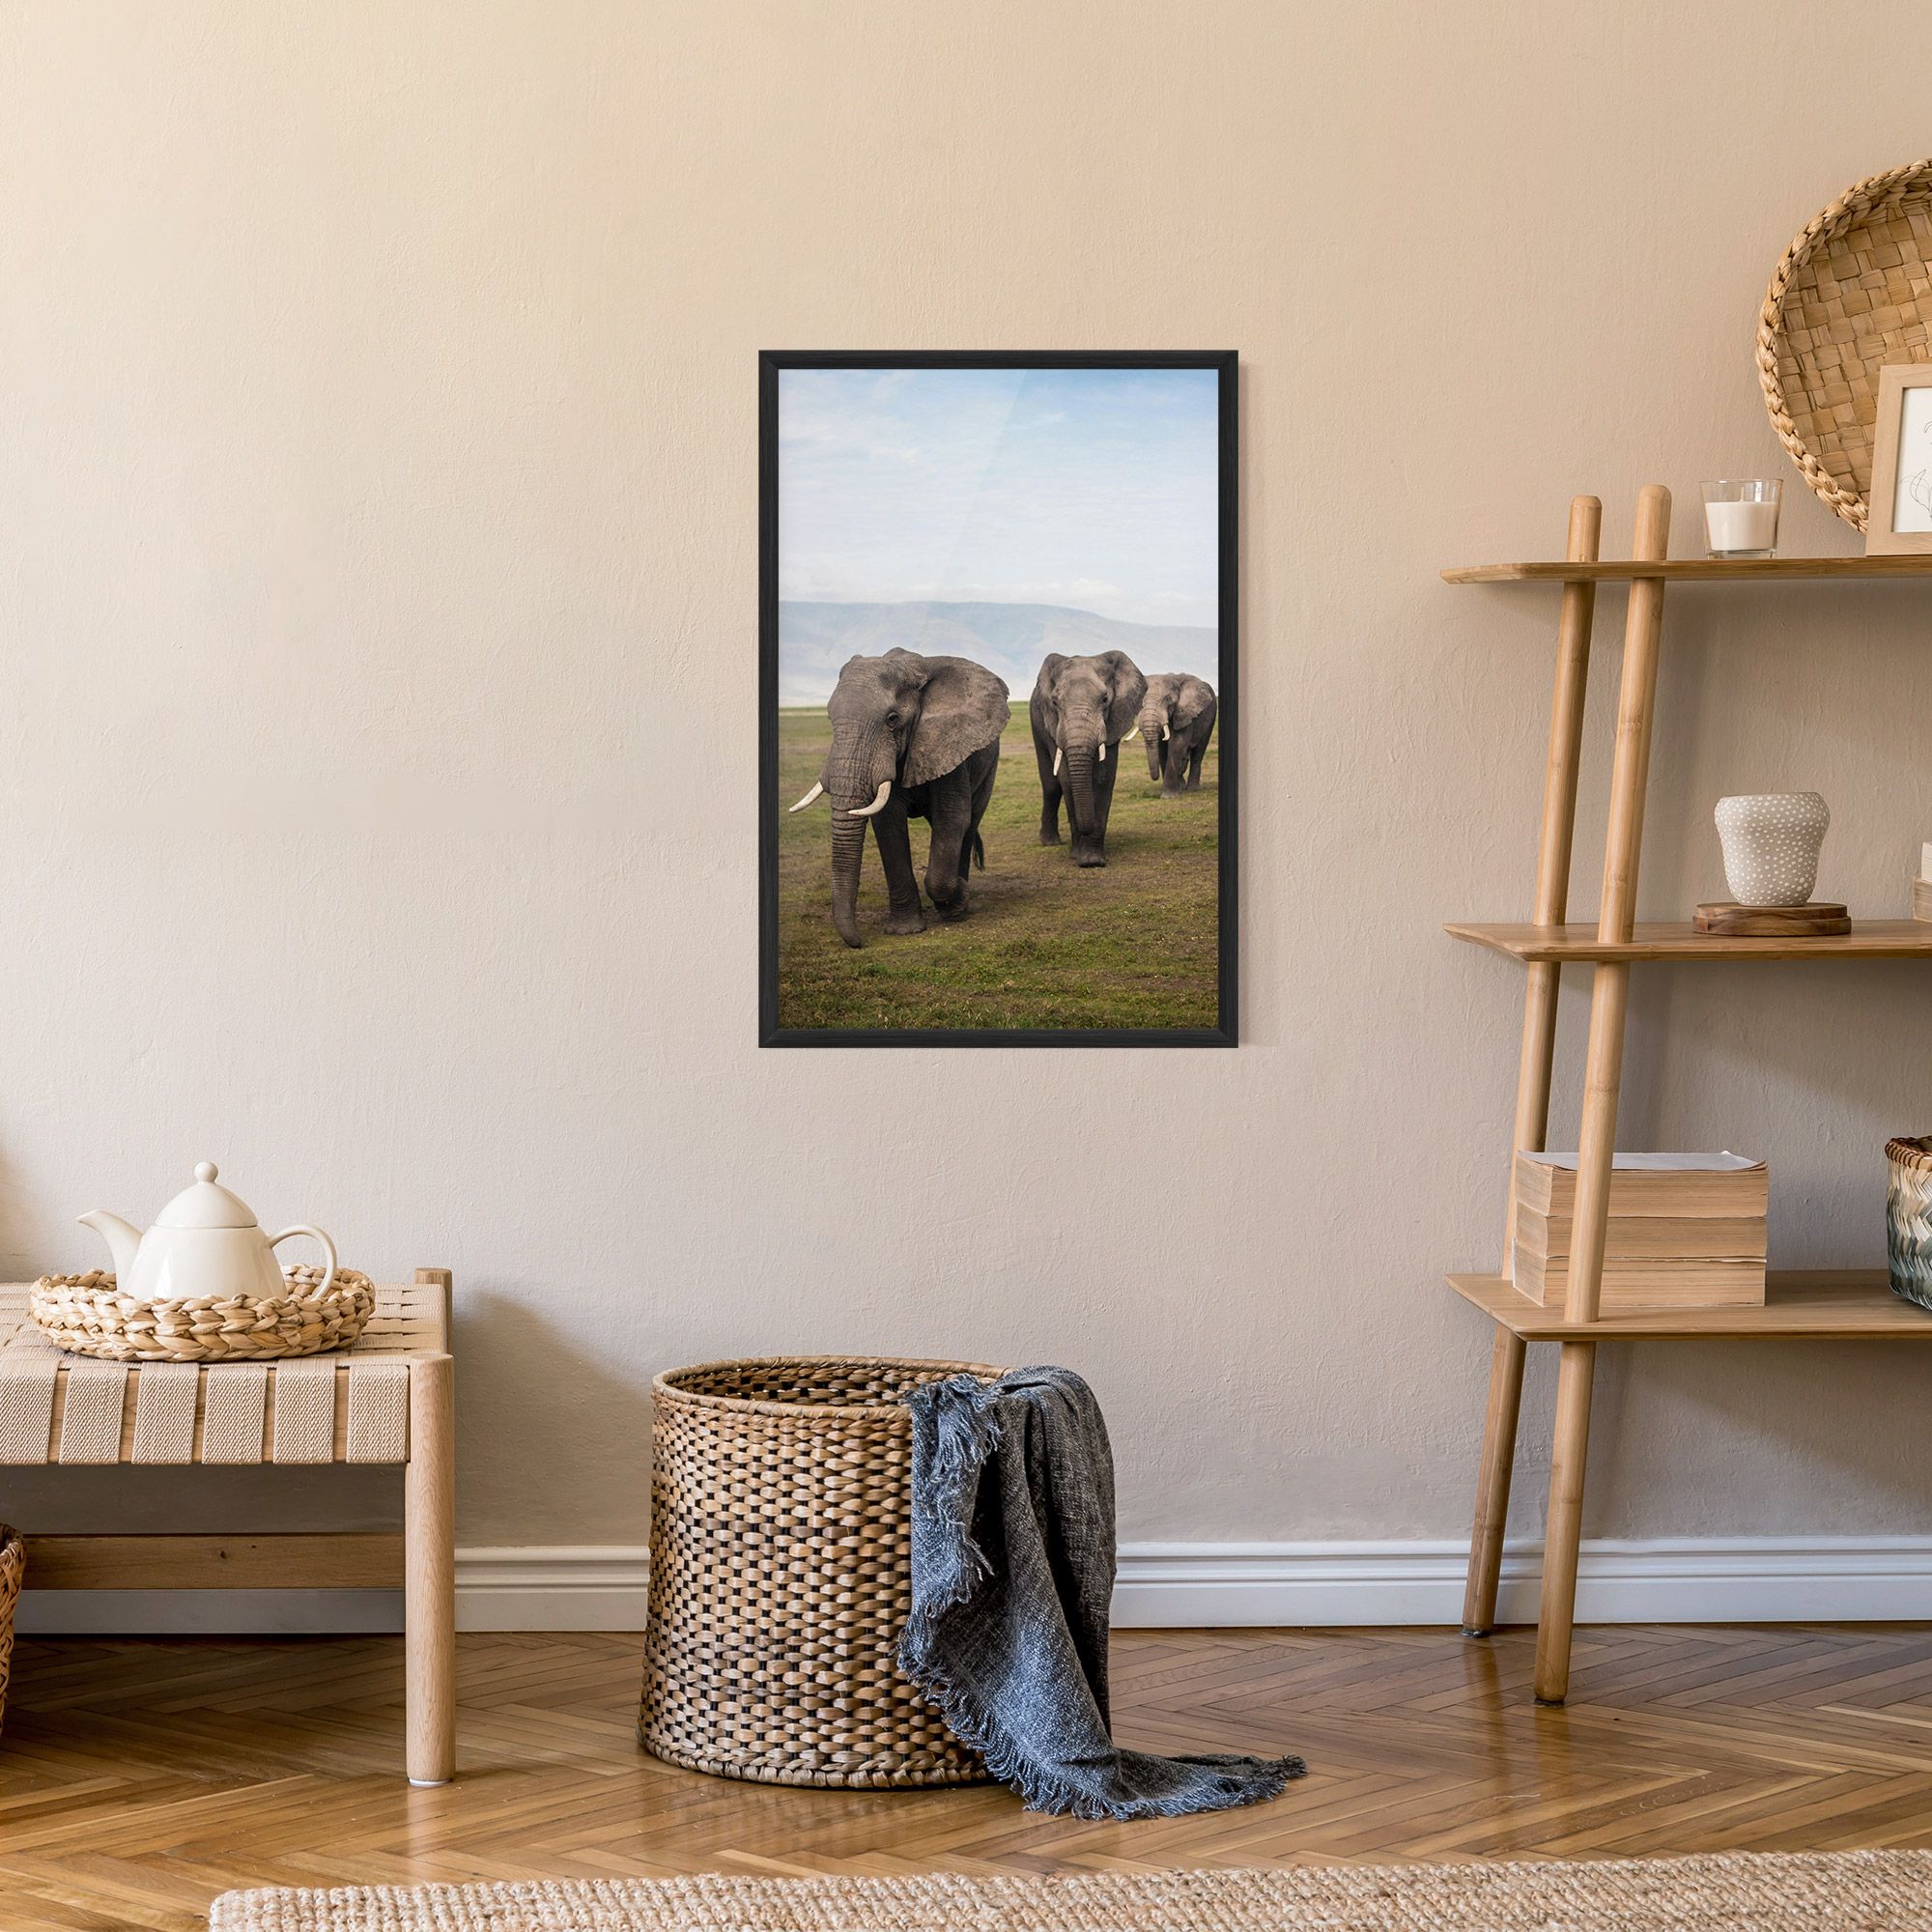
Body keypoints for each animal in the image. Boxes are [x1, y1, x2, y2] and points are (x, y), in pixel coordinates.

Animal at [788, 648, 1009, 948]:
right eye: (830, 718)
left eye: (892, 719)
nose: (859, 942)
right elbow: (888, 825)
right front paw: (904, 930)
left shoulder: (949, 744)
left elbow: (952, 819)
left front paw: (958, 899)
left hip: (990, 765)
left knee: (969, 824)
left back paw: (958, 905)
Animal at [1030, 650, 1147, 867]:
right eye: (1055, 702)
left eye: (1105, 699)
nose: (1087, 828)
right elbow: (1067, 779)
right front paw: (1079, 857)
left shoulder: (1113, 720)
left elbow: (1103, 777)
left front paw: (1093, 860)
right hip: (1036, 722)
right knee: (1051, 786)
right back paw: (1050, 842)